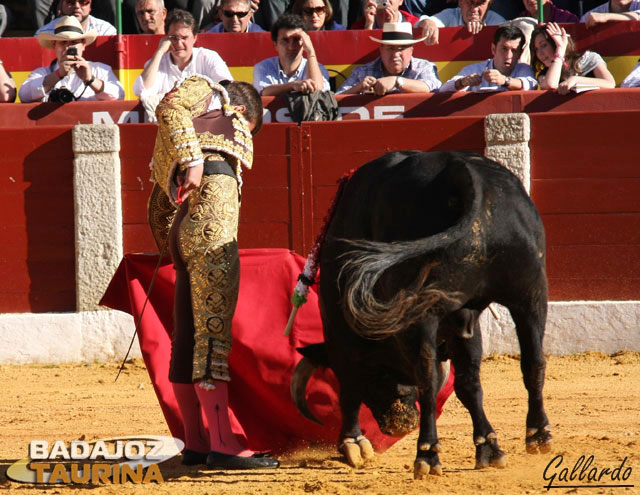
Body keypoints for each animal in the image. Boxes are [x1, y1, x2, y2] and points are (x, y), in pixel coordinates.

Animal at [292, 150, 552, 476]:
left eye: (378, 377)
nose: (400, 423)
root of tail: (462, 172)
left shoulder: (340, 330)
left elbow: (350, 383)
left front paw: (353, 444)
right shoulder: (463, 317)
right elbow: (469, 382)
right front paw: (488, 447)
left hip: (423, 310)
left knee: (427, 377)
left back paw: (426, 455)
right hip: (531, 291)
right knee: (534, 361)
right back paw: (538, 435)